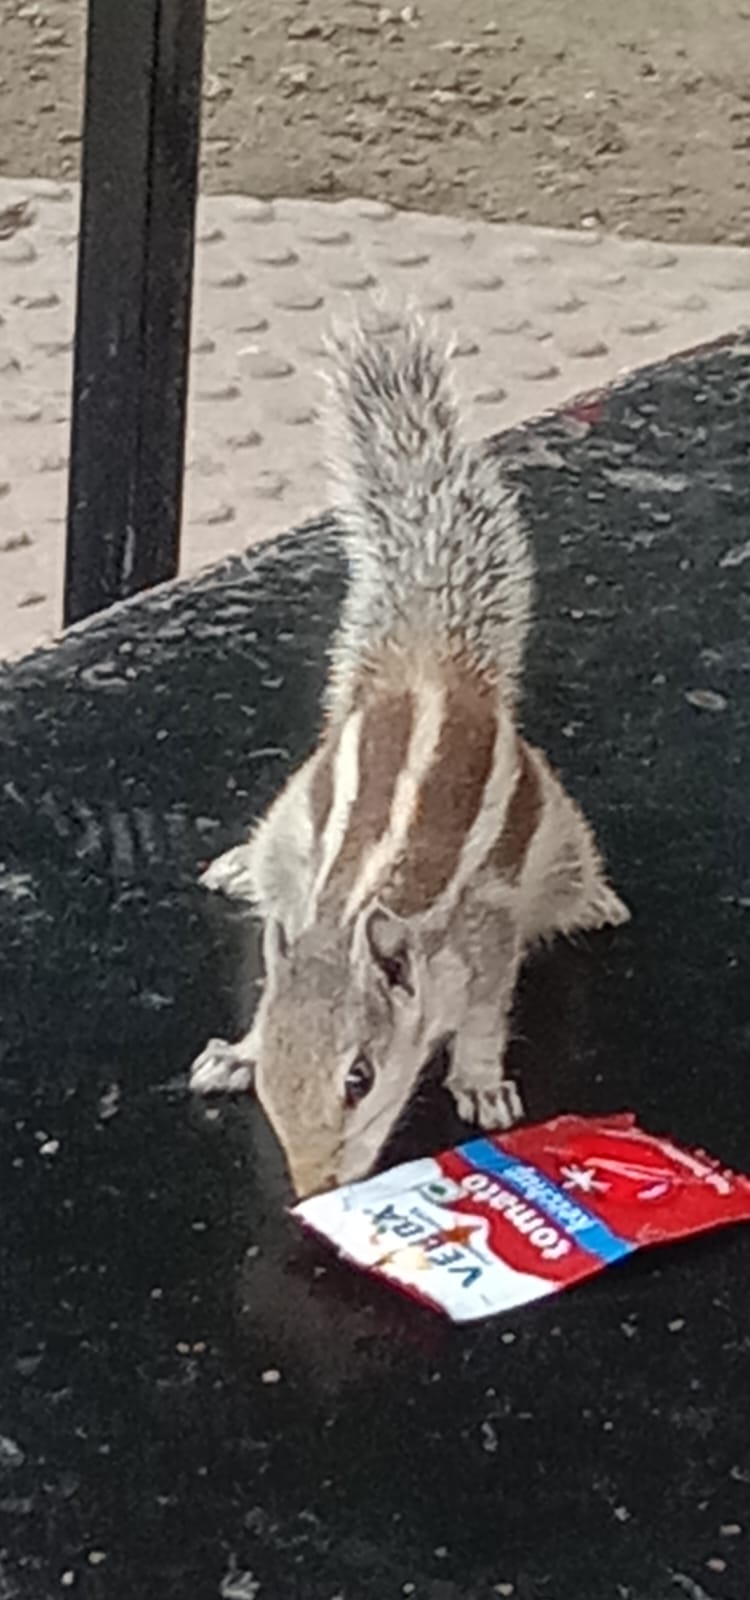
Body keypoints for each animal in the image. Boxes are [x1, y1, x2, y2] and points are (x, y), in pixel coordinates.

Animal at [189, 313, 629, 1199]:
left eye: (359, 1077)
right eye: (274, 1079)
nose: (314, 1188)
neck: (351, 909)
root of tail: (430, 665)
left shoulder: (485, 942)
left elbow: (487, 1018)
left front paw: (481, 1082)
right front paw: (236, 1051)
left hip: (558, 840)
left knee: (570, 875)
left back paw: (593, 900)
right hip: (290, 820)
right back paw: (240, 866)